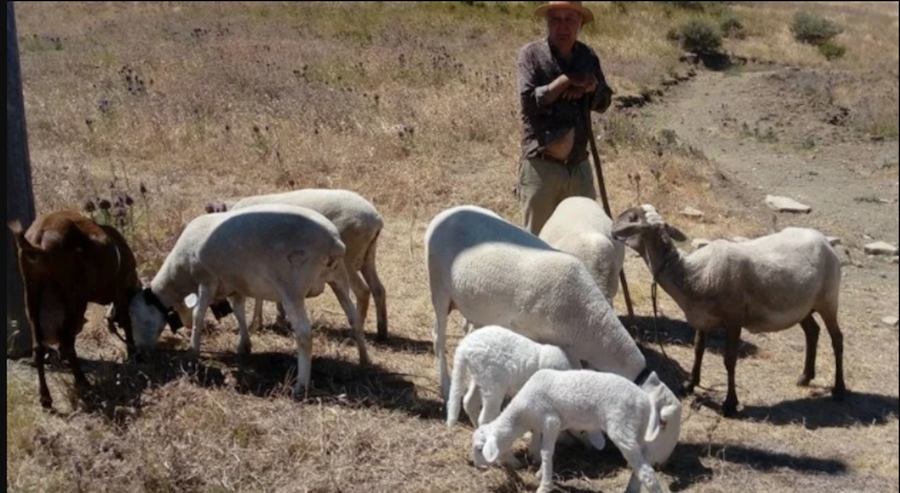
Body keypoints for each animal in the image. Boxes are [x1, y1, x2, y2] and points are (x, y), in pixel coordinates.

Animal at [8, 211, 141, 409]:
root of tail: (38, 241)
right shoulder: (119, 291)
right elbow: (127, 321)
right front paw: (133, 353)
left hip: (32, 295)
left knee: (39, 347)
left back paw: (46, 397)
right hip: (73, 298)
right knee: (69, 342)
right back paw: (82, 382)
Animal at [128, 204, 369, 398]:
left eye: (139, 319)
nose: (140, 354)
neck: (179, 275)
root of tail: (334, 242)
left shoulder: (207, 281)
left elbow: (198, 315)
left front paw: (193, 351)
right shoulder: (235, 285)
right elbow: (239, 311)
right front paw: (244, 345)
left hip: (292, 287)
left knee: (304, 333)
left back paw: (300, 386)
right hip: (337, 277)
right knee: (354, 318)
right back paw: (364, 360)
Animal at [225, 189, 388, 342]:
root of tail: (376, 219)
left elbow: (258, 297)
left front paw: (255, 325)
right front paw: (279, 319)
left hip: (349, 257)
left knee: (363, 291)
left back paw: (356, 330)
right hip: (368, 256)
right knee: (378, 289)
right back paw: (382, 333)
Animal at [472, 369, 677, 493]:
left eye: (480, 449)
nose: (476, 465)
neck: (522, 413)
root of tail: (645, 401)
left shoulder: (551, 420)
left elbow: (546, 452)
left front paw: (544, 485)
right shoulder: (546, 425)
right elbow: (543, 448)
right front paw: (540, 473)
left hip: (622, 428)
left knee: (647, 472)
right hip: (637, 431)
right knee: (642, 463)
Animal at [611, 204, 846, 417]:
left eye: (630, 217)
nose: (612, 228)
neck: (692, 275)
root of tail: (823, 240)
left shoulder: (734, 319)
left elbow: (729, 360)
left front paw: (730, 403)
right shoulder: (702, 318)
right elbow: (698, 349)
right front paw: (690, 384)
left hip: (828, 299)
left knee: (837, 339)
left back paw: (839, 389)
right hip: (802, 306)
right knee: (812, 332)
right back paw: (805, 377)